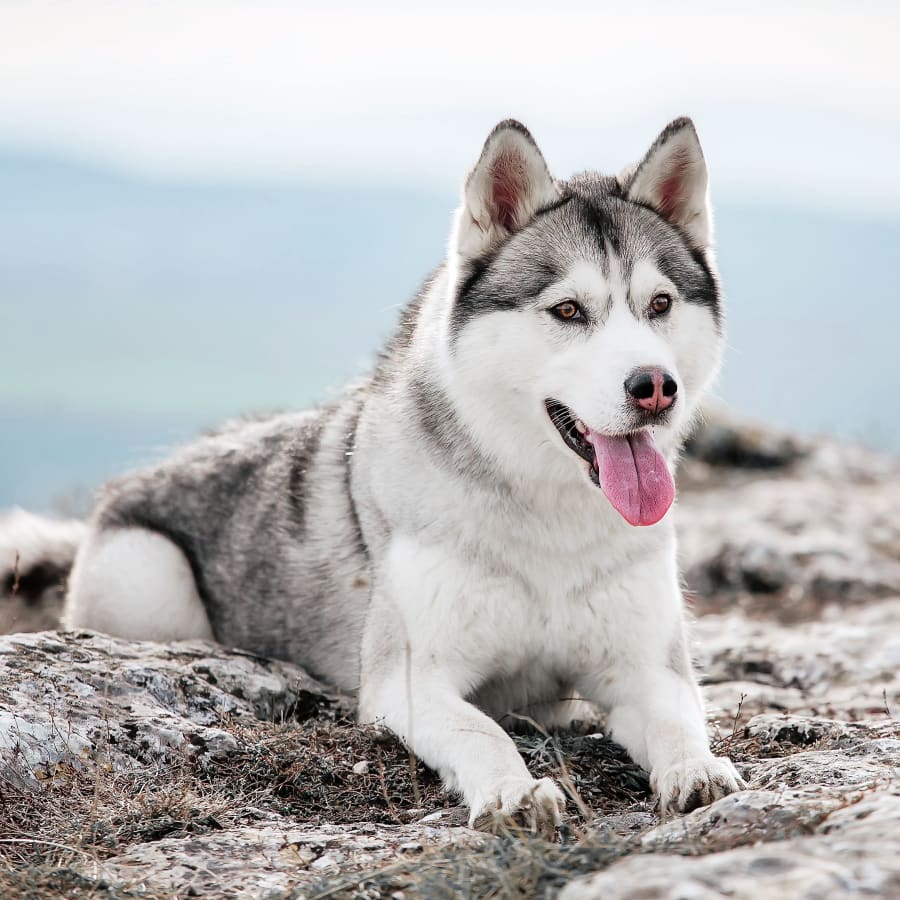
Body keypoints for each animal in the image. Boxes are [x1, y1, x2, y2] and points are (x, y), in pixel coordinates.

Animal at [1, 118, 744, 836]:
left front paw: (697, 772)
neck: (548, 519)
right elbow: (482, 733)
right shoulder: (410, 681)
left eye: (659, 304)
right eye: (568, 311)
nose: (655, 387)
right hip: (150, 583)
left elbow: (679, 725)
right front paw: (513, 791)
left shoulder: (649, 669)